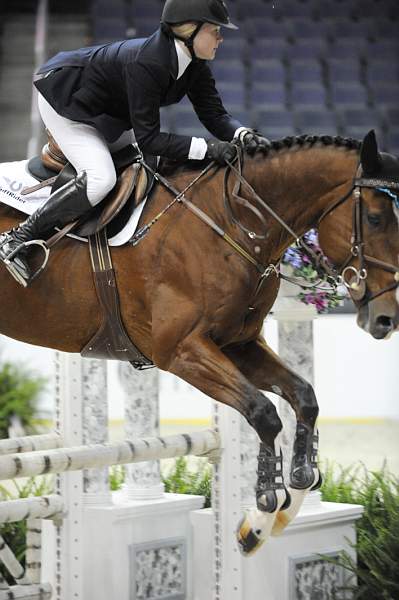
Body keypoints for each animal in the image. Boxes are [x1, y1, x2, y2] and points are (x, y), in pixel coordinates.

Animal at [0, 129, 398, 556]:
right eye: (375, 218)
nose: (386, 318)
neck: (232, 223)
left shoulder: (238, 344)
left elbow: (304, 397)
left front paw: (290, 504)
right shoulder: (182, 352)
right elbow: (264, 413)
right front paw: (259, 518)